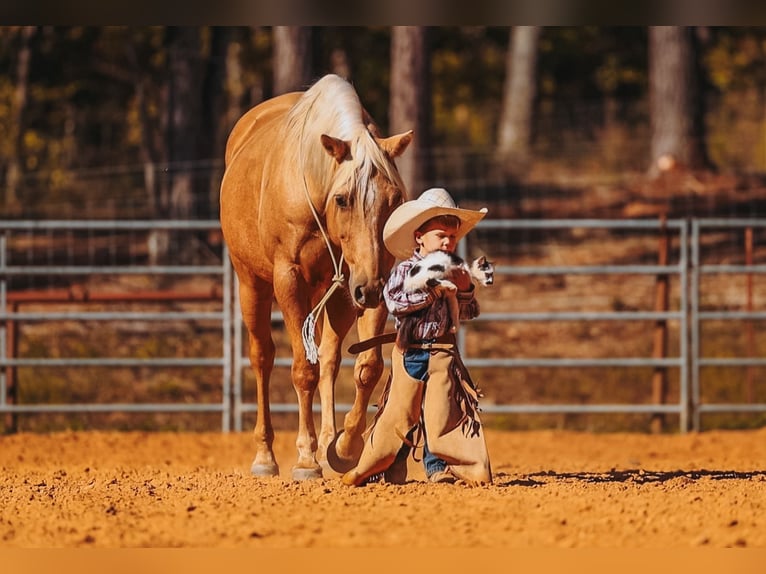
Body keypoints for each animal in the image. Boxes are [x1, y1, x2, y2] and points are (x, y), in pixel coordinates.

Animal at [219, 74, 412, 480]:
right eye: (342, 199)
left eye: (395, 198)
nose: (370, 288)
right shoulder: (289, 279)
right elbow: (302, 370)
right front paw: (306, 459)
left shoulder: (365, 283)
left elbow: (366, 367)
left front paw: (344, 447)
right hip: (252, 284)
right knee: (263, 357)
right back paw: (266, 456)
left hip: (332, 294)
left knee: (329, 358)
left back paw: (326, 447)